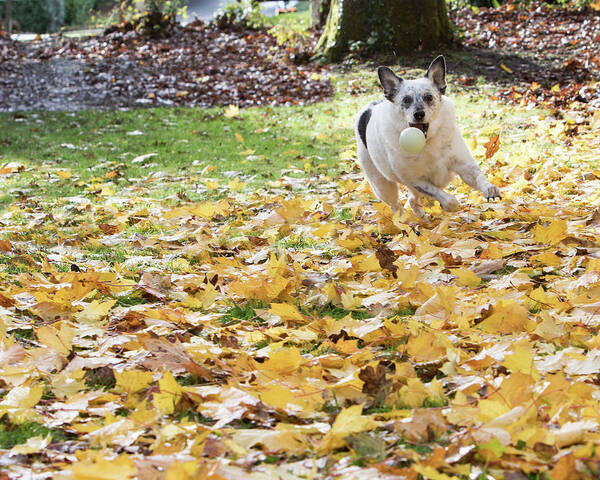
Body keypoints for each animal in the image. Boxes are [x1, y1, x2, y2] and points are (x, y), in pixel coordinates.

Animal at [356, 54, 502, 218]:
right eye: (406, 100)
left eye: (429, 97)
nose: (419, 114)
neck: (427, 142)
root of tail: (370, 107)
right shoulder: (416, 180)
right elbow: (445, 197)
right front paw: (448, 204)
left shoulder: (465, 166)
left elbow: (479, 177)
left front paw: (490, 188)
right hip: (383, 186)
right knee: (396, 206)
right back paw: (402, 220)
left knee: (412, 200)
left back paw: (421, 216)